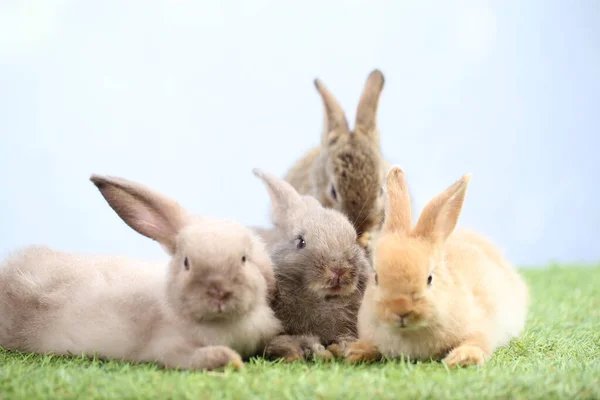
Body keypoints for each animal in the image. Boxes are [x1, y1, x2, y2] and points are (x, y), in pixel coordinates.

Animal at [344, 167, 528, 368]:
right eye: (376, 278)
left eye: (429, 279)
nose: (401, 310)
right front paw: (355, 352)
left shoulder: (479, 328)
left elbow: (477, 342)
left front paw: (462, 358)